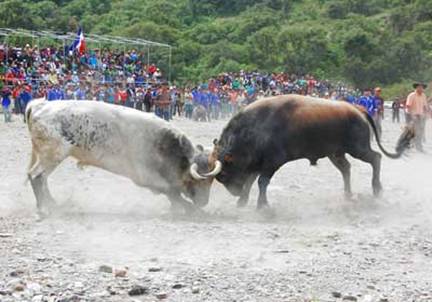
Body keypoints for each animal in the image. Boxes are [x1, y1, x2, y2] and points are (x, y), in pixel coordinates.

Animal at [26, 99, 223, 215]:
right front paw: (193, 211)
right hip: (53, 154)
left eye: (211, 181)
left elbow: (173, 194)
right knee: (36, 176)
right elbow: (171, 192)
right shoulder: (146, 176)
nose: (203, 202)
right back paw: (45, 208)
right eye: (197, 180)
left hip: (45, 155)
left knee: (41, 178)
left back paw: (52, 204)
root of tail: (39, 105)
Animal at [209, 95, 416, 209]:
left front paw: (262, 204)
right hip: (336, 153)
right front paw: (242, 202)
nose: (234, 192)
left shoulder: (272, 163)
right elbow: (252, 181)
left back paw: (377, 189)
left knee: (376, 158)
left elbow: (261, 182)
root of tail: (357, 108)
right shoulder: (258, 163)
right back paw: (347, 194)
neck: (255, 127)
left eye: (224, 174)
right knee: (346, 169)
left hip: (358, 148)